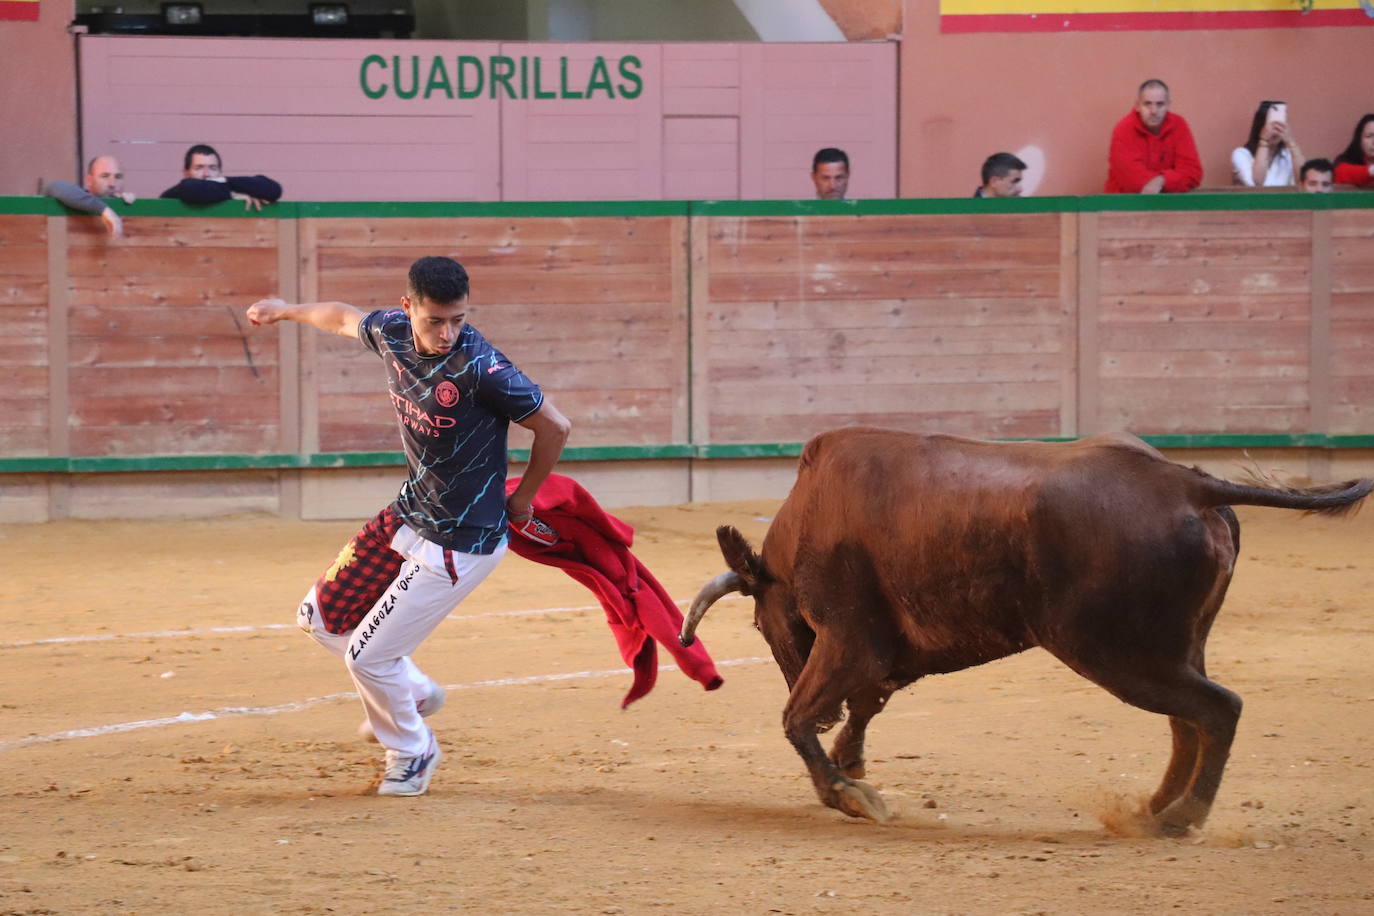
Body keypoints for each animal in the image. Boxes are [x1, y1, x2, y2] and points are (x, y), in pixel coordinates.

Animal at [681, 425, 1368, 834]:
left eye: (759, 624)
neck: (807, 520)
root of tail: (1185, 482)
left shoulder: (850, 641)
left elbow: (797, 718)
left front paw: (851, 794)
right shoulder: (878, 658)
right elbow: (862, 708)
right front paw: (853, 769)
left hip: (1121, 655)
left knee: (1218, 709)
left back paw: (1180, 818)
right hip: (1172, 649)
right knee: (1190, 720)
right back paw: (1155, 810)